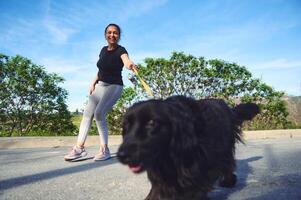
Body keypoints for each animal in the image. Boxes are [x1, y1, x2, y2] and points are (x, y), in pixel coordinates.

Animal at [116, 96, 258, 199]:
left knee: (228, 164)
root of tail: (228, 108)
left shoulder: (200, 171)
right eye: (126, 125)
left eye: (151, 122)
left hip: (224, 148)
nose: (122, 155)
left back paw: (229, 181)